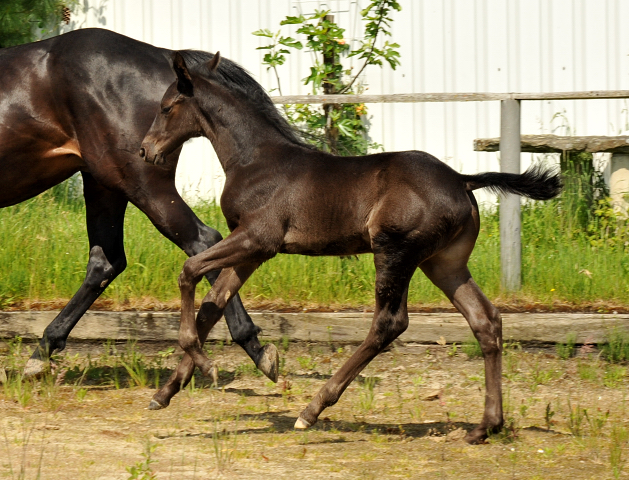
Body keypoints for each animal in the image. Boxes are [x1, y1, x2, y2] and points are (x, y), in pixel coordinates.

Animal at [0, 29, 276, 382]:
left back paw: (247, 349)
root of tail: (163, 54)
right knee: (106, 263)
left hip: (141, 184)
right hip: (104, 184)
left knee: (202, 240)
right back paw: (41, 352)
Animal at [140, 50, 560, 444]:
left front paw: (205, 365)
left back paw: (312, 409)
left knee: (390, 323)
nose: (145, 150)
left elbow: (189, 272)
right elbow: (213, 304)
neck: (256, 160)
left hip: (395, 251)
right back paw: (485, 426)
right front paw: (166, 392)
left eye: (166, 107)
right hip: (444, 263)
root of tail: (462, 179)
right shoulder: (251, 252)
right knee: (485, 320)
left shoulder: (259, 239)